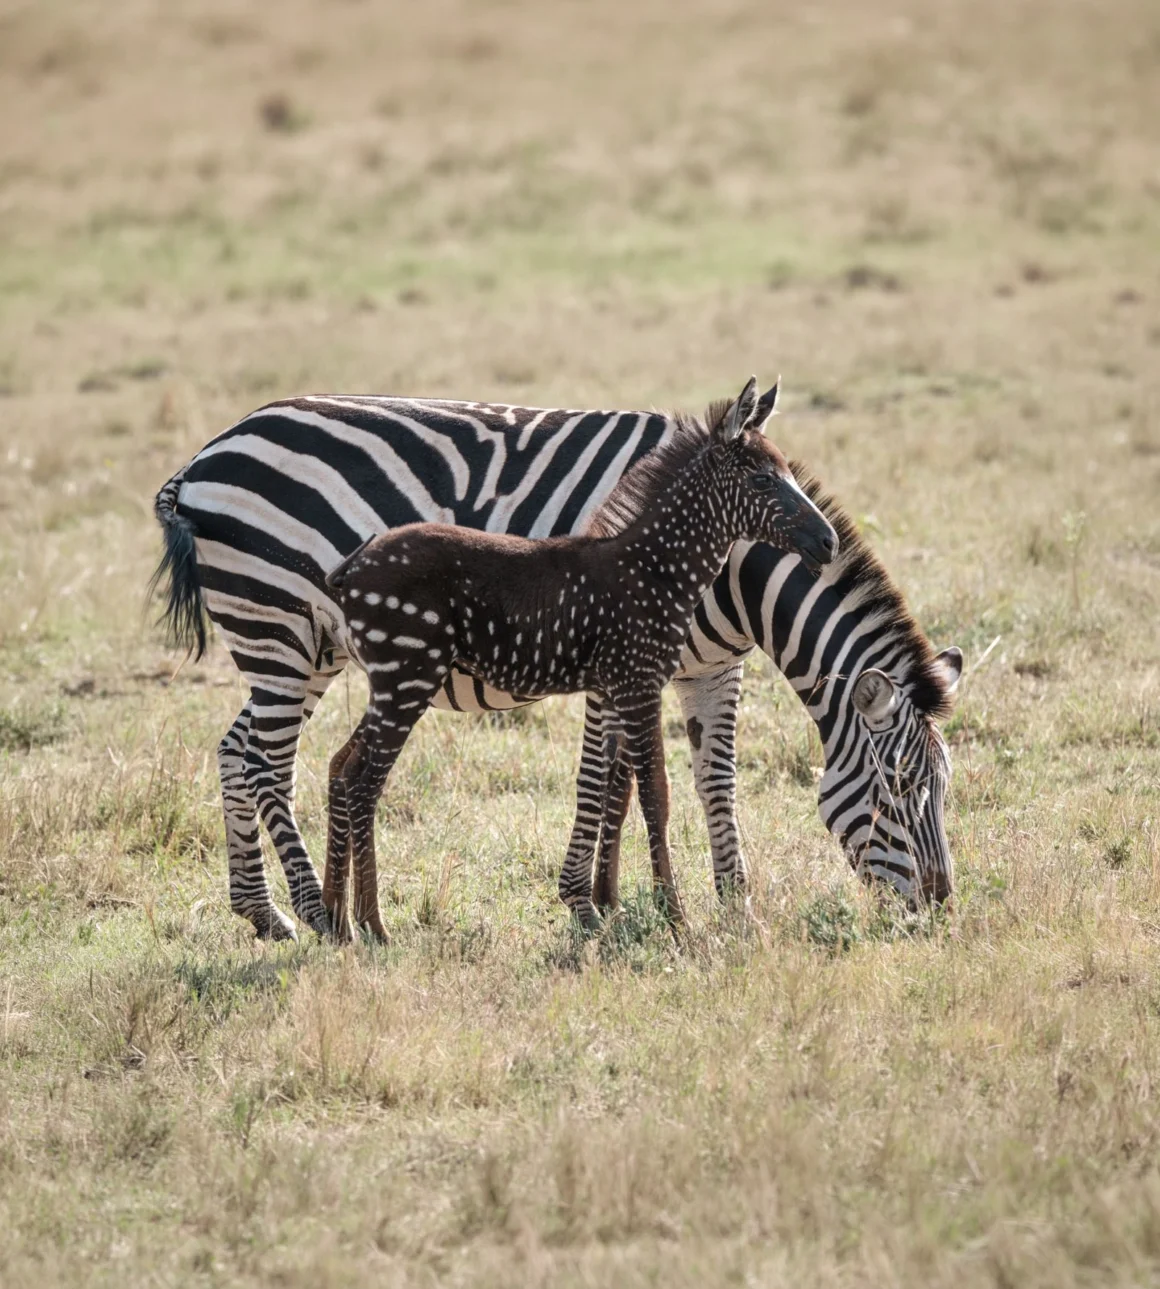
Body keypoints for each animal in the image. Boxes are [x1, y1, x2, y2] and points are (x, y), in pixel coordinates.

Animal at [151, 384, 962, 940]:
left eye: (944, 787)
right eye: (900, 785)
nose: (939, 902)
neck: (727, 571)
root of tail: (200, 459)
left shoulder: (707, 665)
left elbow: (709, 780)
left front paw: (731, 903)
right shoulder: (626, 667)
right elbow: (610, 780)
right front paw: (593, 900)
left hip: (301, 646)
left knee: (236, 750)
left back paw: (265, 912)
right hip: (280, 628)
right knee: (267, 761)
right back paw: (318, 912)